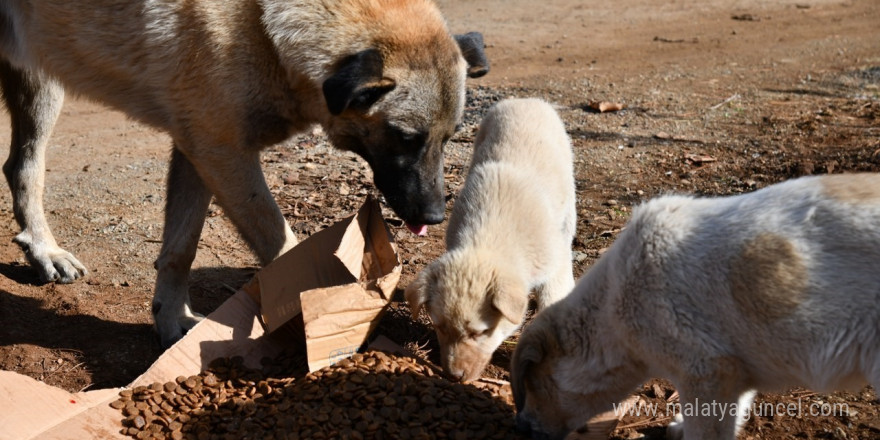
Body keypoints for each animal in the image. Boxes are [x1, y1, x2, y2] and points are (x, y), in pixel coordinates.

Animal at [0, 0, 488, 348]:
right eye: (405, 137)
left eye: (450, 137)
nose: (434, 216)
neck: (260, 22)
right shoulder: (223, 155)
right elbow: (286, 246)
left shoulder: (198, 152)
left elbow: (180, 250)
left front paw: (171, 321)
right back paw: (45, 250)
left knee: (20, 166)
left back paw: (43, 251)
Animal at [406, 98, 576, 384]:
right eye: (439, 327)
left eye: (479, 333)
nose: (454, 376)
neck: (488, 235)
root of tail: (526, 100)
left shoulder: (554, 268)